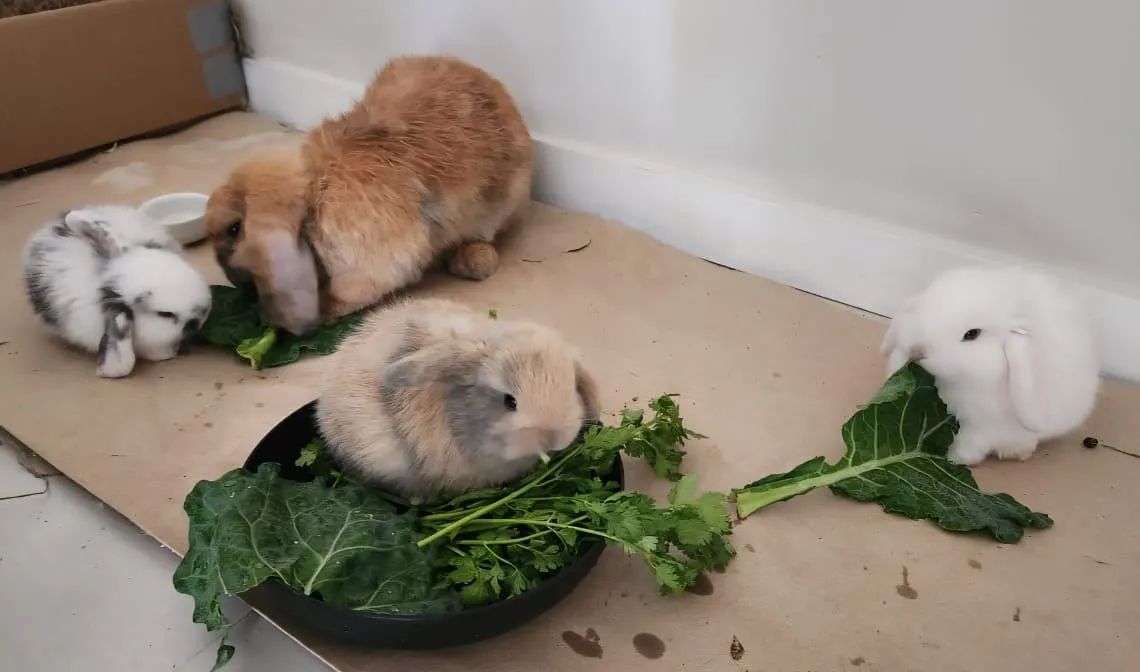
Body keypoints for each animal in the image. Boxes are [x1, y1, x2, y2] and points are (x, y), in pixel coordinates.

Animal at [205, 55, 534, 336]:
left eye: (234, 228)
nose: (235, 282)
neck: (313, 192)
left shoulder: (365, 260)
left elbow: (353, 289)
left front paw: (323, 311)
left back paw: (471, 260)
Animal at [881, 266, 1099, 465]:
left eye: (972, 334)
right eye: (926, 306)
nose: (917, 351)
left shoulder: (980, 426)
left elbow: (969, 444)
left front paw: (954, 458)